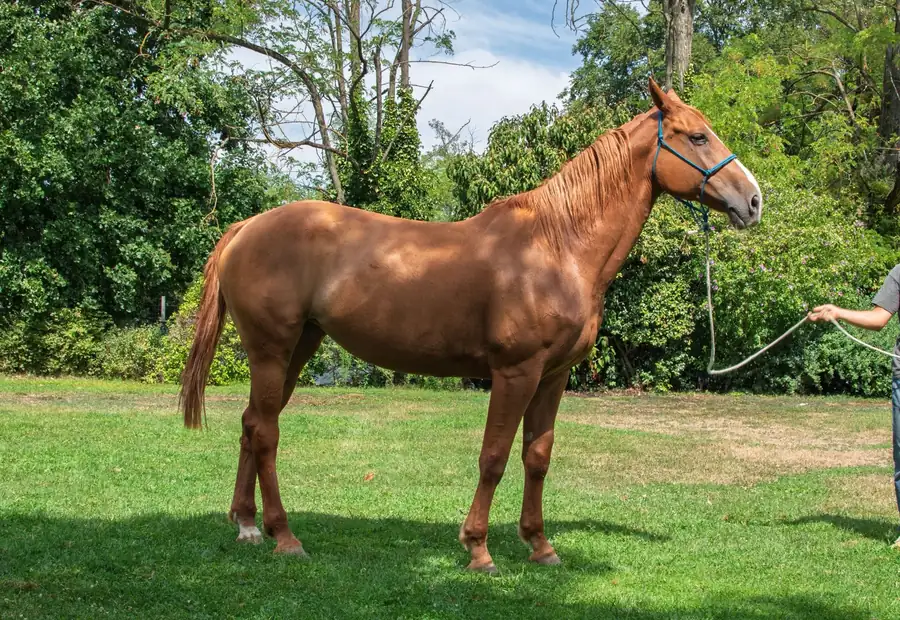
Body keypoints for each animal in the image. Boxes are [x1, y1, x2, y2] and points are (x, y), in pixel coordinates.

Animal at [179, 78, 762, 573]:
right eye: (697, 136)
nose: (753, 200)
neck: (557, 248)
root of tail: (248, 226)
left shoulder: (553, 377)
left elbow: (537, 457)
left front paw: (540, 546)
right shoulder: (514, 373)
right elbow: (494, 457)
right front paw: (478, 549)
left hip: (297, 348)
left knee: (252, 424)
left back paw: (247, 525)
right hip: (272, 349)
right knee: (266, 433)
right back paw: (284, 536)